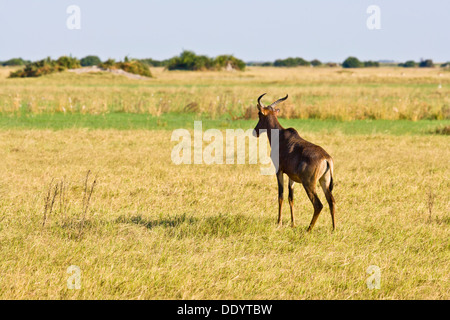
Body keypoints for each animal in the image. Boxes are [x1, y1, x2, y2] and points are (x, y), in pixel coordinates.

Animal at [253, 94, 334, 231]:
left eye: (259, 114)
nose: (255, 131)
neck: (280, 136)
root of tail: (326, 158)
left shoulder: (279, 171)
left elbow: (280, 196)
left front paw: (279, 222)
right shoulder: (291, 176)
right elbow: (291, 198)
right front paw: (293, 223)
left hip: (309, 184)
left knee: (318, 205)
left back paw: (308, 229)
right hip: (324, 181)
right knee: (331, 201)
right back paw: (334, 229)